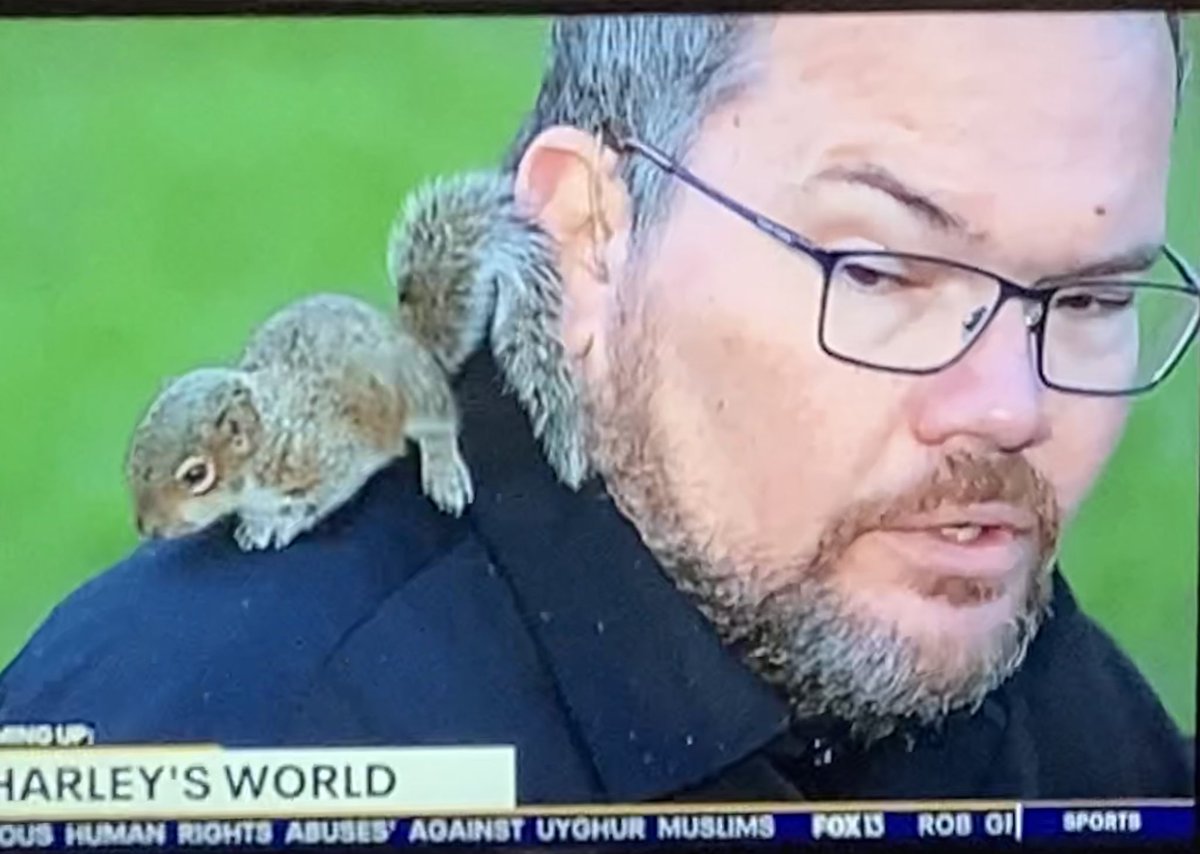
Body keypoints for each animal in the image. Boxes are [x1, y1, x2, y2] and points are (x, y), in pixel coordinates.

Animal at [126, 293, 473, 551]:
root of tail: (406, 337)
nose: (149, 529)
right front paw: (257, 525)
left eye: (196, 475)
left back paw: (444, 473)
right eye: (131, 461)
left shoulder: (334, 457)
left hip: (415, 391)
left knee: (438, 424)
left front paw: (287, 524)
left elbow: (319, 500)